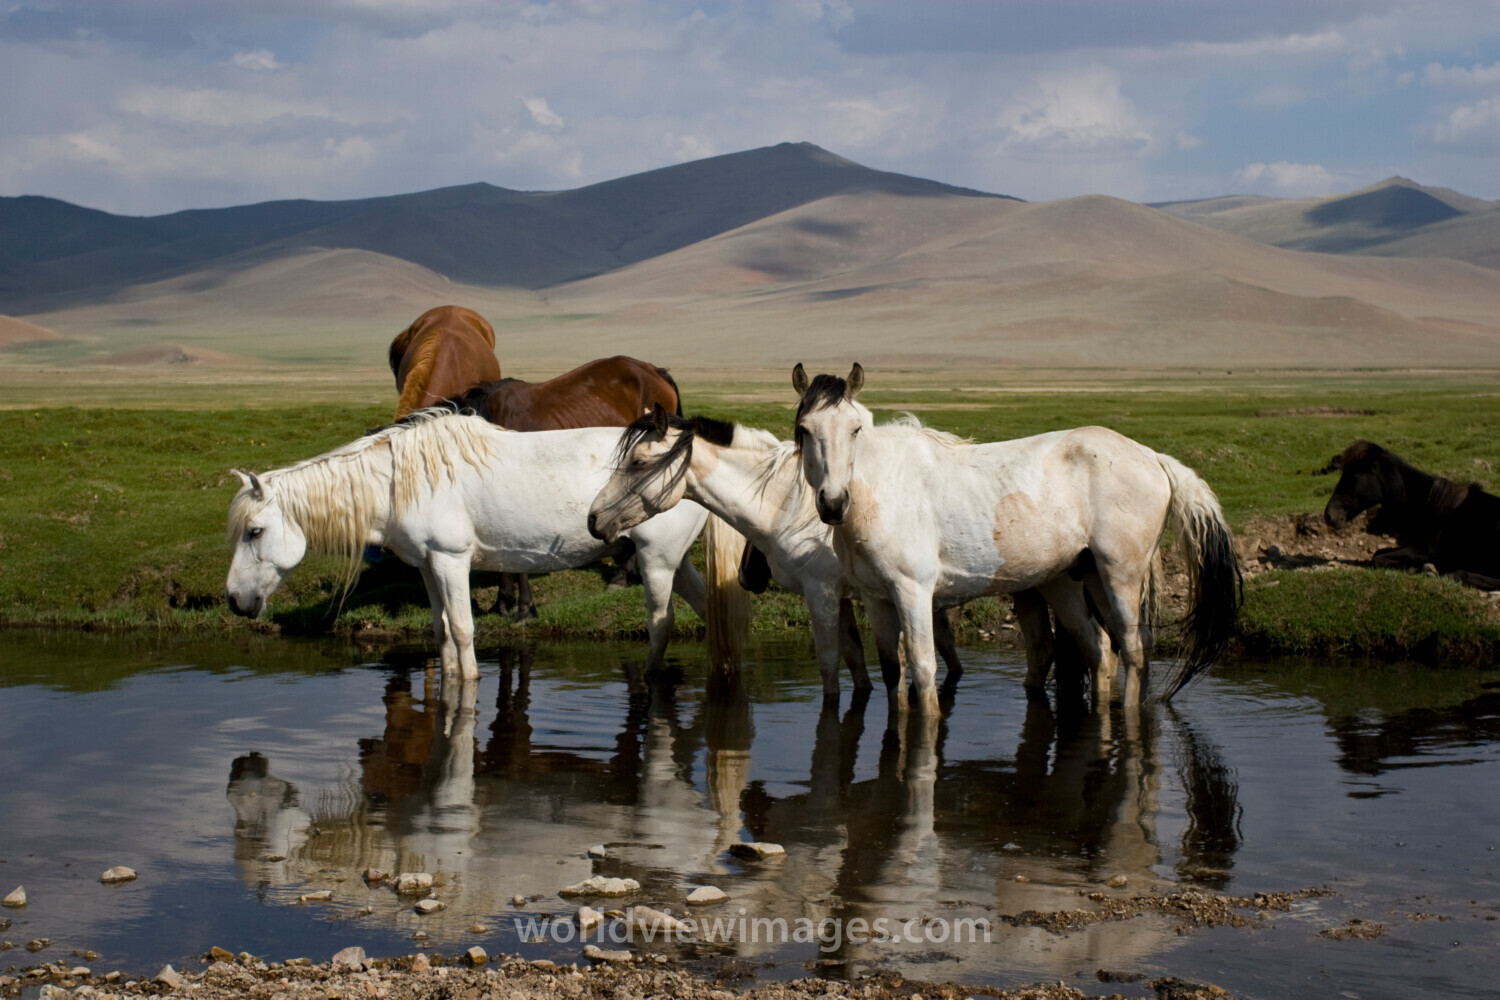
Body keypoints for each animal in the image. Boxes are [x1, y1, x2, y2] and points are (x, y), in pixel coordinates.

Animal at [224, 410, 717, 678]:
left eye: (255, 532)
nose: (233, 600)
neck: (400, 484)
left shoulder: (451, 561)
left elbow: (463, 632)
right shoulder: (428, 567)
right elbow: (442, 631)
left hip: (656, 561)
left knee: (661, 624)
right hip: (675, 562)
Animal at [587, 406, 971, 700]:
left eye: (638, 462)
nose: (594, 519)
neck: (787, 502)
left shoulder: (822, 591)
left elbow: (833, 664)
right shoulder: (842, 596)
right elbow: (856, 659)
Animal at [791, 363, 1241, 714]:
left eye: (855, 430)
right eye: (805, 430)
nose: (833, 502)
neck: (883, 492)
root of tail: (1153, 458)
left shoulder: (913, 592)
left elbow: (923, 670)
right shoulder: (877, 600)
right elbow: (892, 674)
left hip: (1120, 575)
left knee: (1133, 648)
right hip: (1075, 578)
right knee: (1102, 648)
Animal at [1320, 440, 1500, 589]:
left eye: (1354, 476)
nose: (1329, 515)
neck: (1428, 505)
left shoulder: (1425, 550)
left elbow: (1378, 559)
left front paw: (1420, 568)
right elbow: (1378, 553)